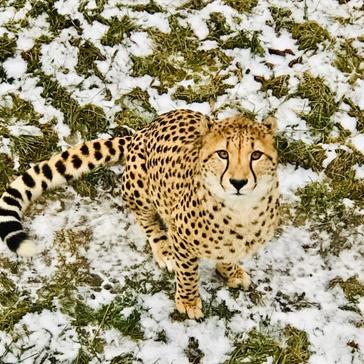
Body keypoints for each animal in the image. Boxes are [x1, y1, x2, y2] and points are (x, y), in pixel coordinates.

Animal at [0, 110, 278, 318]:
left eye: (256, 155)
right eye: (223, 154)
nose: (238, 182)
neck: (241, 211)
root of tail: (143, 130)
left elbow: (228, 255)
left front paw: (231, 272)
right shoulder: (182, 239)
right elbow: (188, 273)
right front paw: (188, 302)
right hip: (140, 184)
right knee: (144, 217)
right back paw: (164, 250)